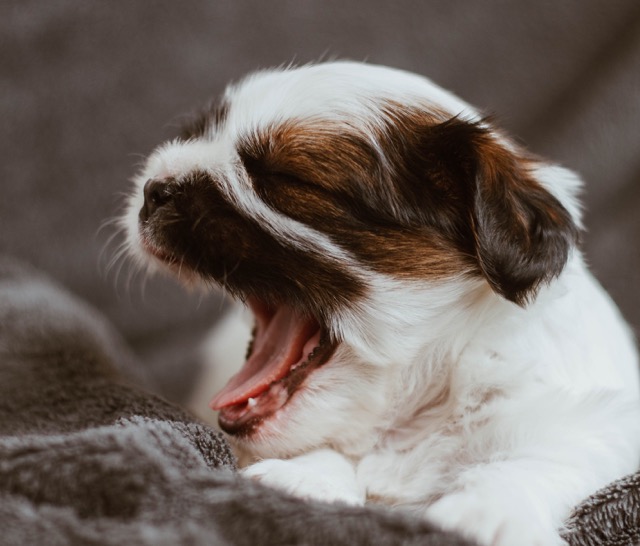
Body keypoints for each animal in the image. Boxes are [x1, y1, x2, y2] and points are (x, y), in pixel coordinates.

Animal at [122, 61, 636, 544]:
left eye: (285, 178)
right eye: (200, 132)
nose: (154, 190)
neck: (411, 415)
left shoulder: (586, 421)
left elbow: (544, 456)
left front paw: (485, 513)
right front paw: (304, 477)